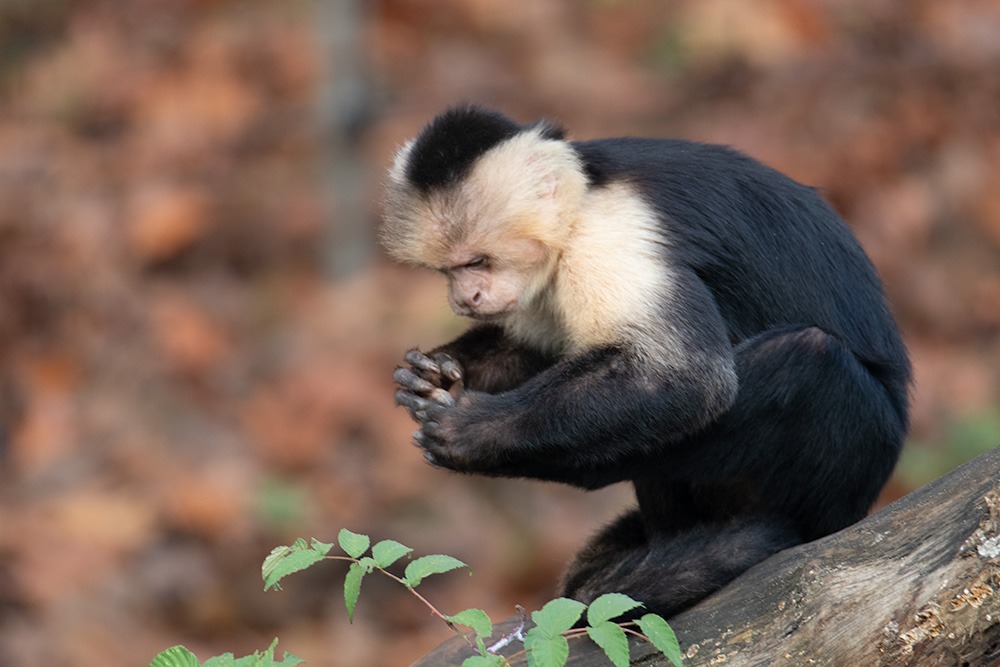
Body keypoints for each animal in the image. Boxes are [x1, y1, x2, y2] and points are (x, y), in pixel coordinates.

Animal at [378, 104, 912, 620]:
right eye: (448, 270)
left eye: (477, 262)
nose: (464, 298)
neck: (584, 199)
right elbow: (545, 350)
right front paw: (434, 371)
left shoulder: (610, 239)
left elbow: (685, 380)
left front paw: (472, 432)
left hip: (855, 457)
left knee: (807, 357)